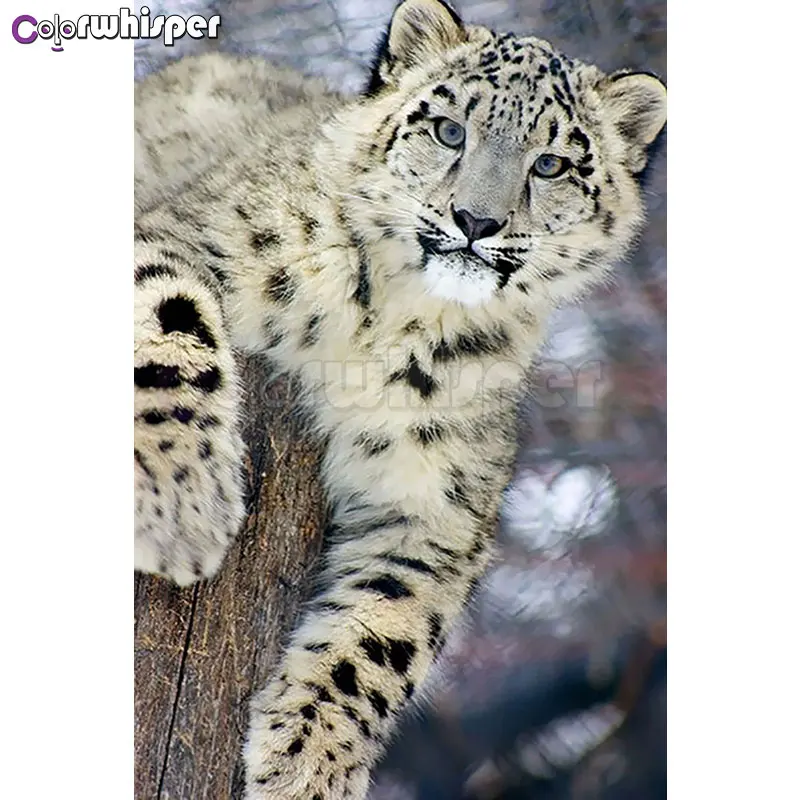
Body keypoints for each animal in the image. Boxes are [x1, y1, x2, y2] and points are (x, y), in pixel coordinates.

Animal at [133, 0, 667, 797]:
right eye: (449, 129)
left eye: (550, 164)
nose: (476, 221)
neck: (393, 318)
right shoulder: (171, 238)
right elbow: (173, 319)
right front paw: (182, 510)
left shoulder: (436, 502)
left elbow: (385, 633)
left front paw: (309, 766)